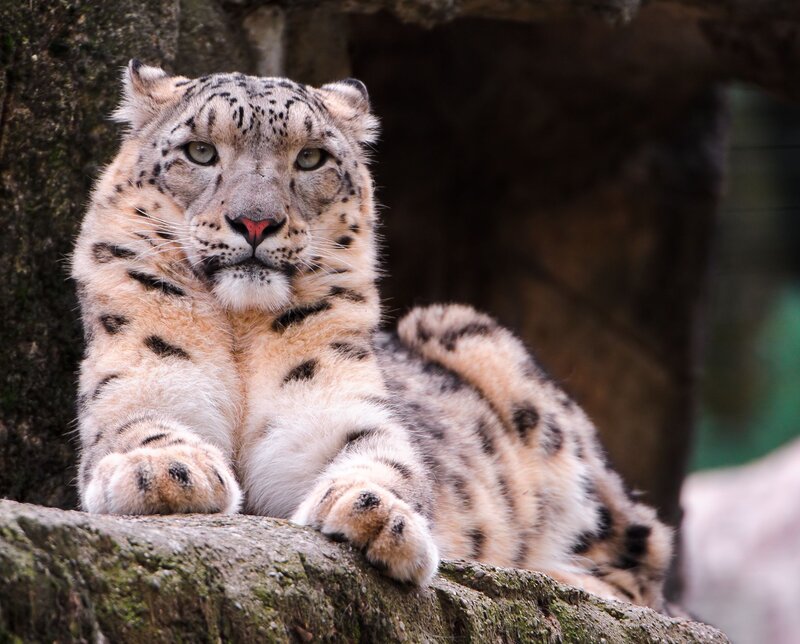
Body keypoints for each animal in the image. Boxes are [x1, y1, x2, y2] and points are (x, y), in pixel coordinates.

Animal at [72, 59, 672, 609]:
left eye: (310, 157)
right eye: (199, 151)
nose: (256, 222)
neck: (241, 332)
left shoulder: (344, 413)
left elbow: (385, 459)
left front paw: (376, 514)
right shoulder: (139, 383)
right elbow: (139, 425)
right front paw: (163, 473)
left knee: (644, 558)